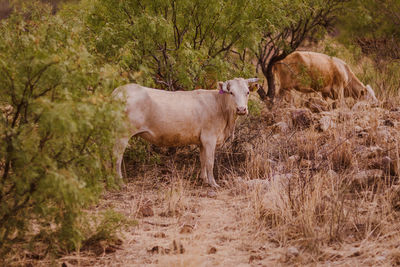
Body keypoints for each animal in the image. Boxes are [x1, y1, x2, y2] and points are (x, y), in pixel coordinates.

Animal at [111, 77, 260, 188]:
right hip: (122, 134)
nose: (241, 109)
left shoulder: (202, 141)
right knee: (117, 156)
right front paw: (213, 183)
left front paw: (204, 179)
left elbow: (202, 160)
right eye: (231, 92)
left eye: (247, 92)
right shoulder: (209, 138)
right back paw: (120, 182)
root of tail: (120, 90)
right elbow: (210, 161)